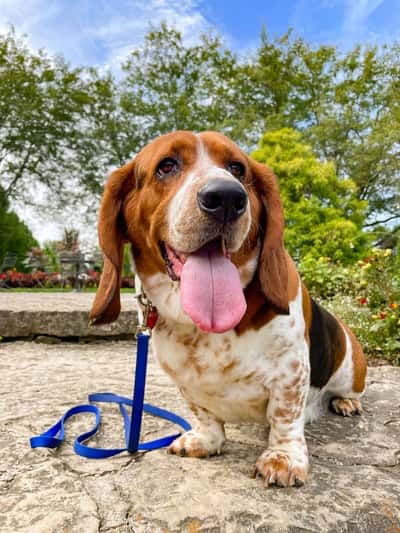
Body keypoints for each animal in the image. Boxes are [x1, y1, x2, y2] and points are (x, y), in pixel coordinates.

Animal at [89, 131, 367, 487]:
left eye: (237, 168)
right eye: (166, 165)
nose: (226, 197)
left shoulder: (291, 373)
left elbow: (285, 417)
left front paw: (283, 458)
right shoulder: (185, 381)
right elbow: (204, 413)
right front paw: (205, 440)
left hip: (351, 373)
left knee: (343, 392)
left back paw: (346, 402)